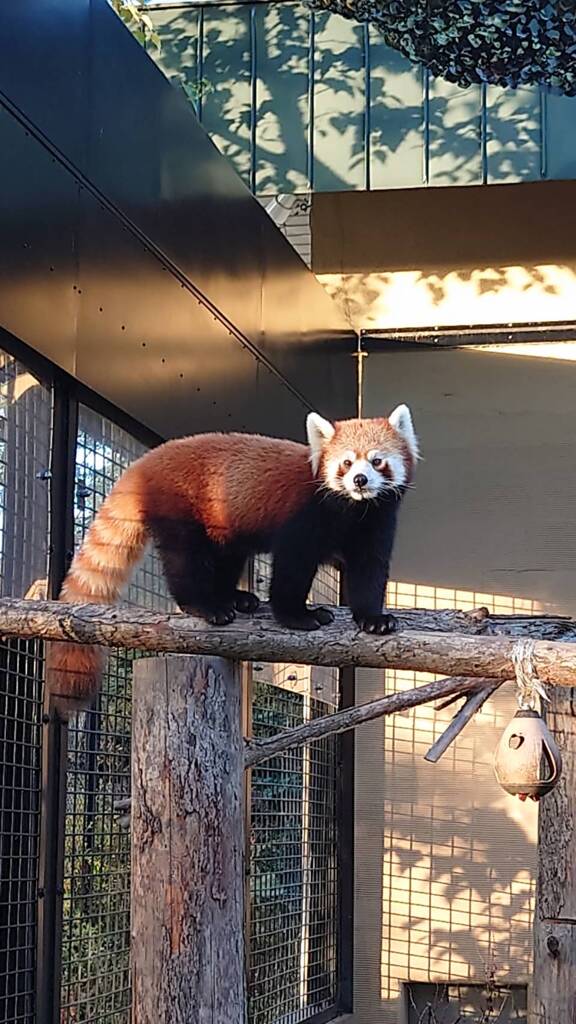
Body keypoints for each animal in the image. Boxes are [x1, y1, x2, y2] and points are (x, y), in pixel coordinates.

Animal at [43, 403, 412, 716]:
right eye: (346, 463)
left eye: (377, 461)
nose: (360, 480)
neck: (352, 510)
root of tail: (145, 462)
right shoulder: (304, 516)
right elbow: (291, 568)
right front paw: (297, 616)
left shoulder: (376, 522)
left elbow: (369, 570)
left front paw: (373, 619)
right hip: (180, 507)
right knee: (185, 559)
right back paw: (204, 605)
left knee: (226, 558)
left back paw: (235, 597)